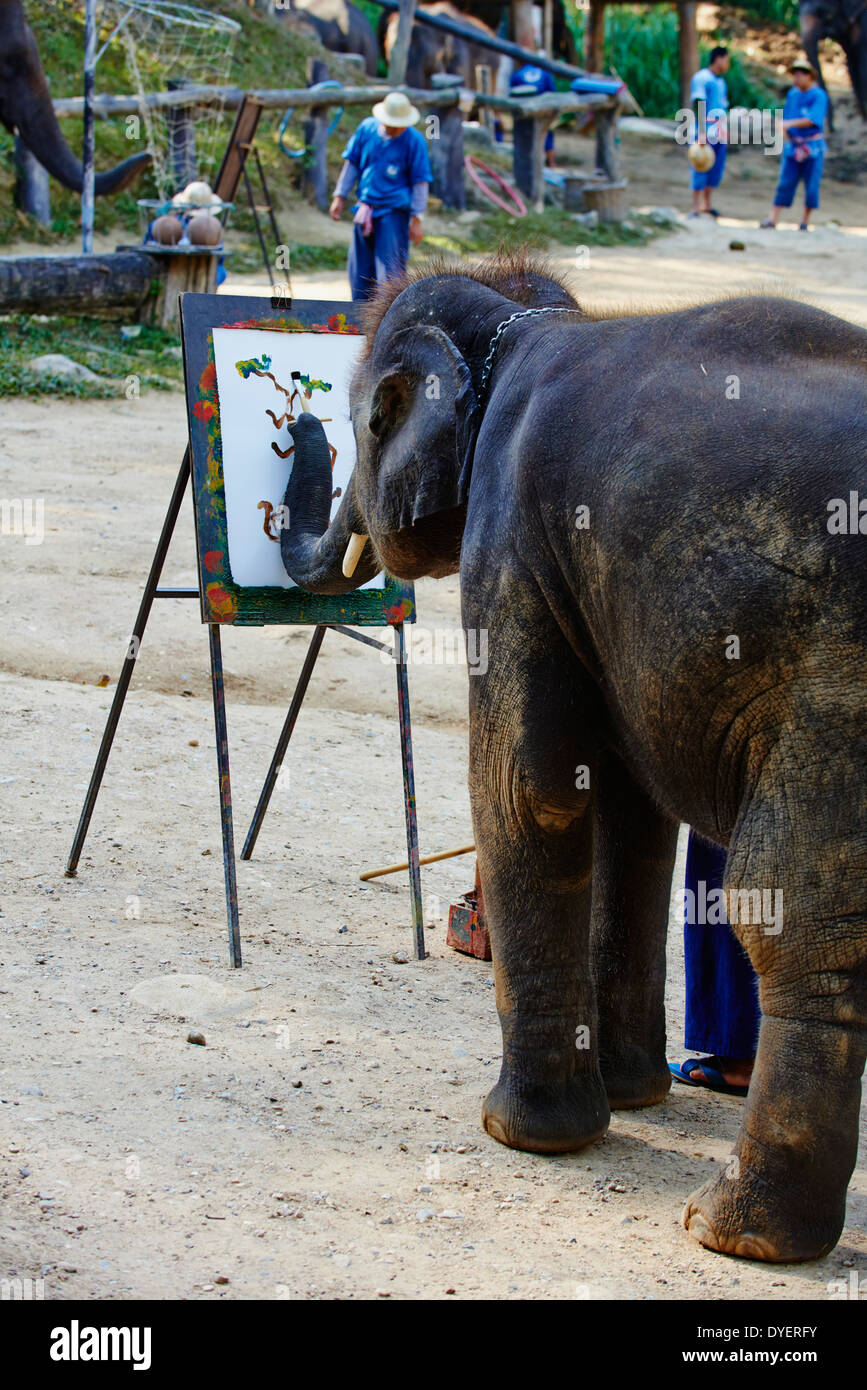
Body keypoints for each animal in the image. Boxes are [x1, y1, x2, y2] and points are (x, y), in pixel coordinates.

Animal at [278, 251, 867, 1263]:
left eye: (362, 423)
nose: (298, 423)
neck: (523, 321)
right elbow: (630, 810)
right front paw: (633, 1098)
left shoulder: (513, 535)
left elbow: (530, 787)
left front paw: (522, 1133)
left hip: (832, 673)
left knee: (794, 910)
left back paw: (733, 1229)